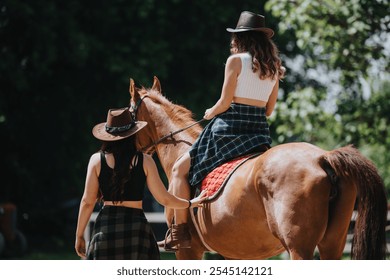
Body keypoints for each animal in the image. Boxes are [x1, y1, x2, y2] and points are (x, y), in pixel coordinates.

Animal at [129, 76, 386, 260]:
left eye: (127, 113)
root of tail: (323, 158)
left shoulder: (188, 252)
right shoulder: (237, 253)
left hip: (299, 249)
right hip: (332, 245)